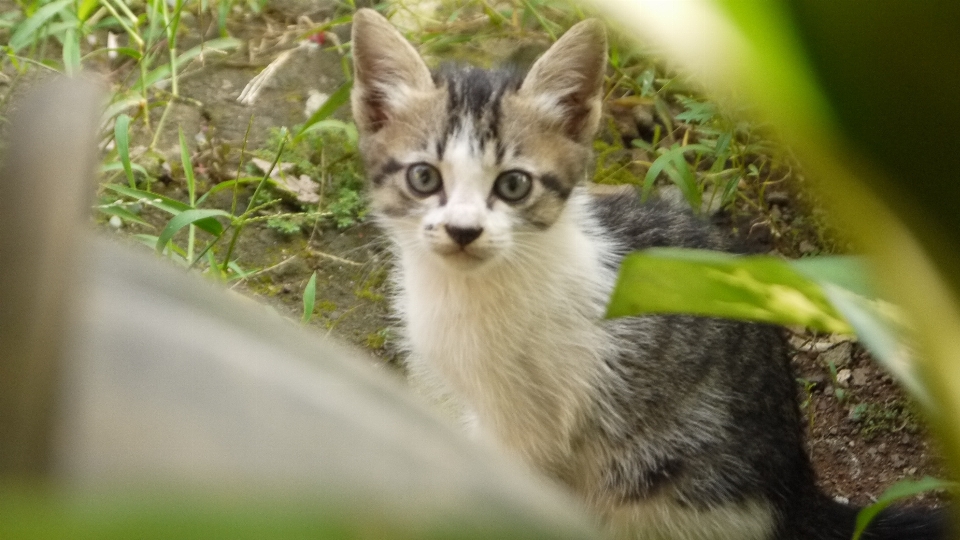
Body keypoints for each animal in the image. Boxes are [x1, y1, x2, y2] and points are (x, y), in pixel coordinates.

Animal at [346, 8, 944, 540]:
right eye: (424, 177)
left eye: (513, 185)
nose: (463, 231)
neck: (470, 290)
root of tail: (796, 494)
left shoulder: (532, 427)